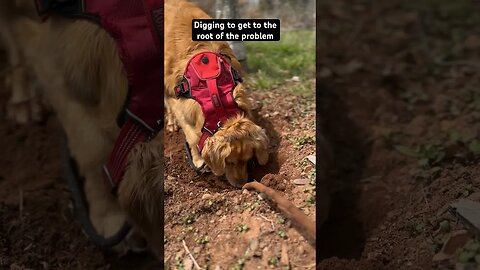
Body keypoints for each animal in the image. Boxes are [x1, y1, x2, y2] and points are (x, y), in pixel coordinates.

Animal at [165, 0, 270, 188]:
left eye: (248, 159)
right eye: (229, 162)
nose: (240, 185)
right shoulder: (181, 106)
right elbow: (192, 137)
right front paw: (199, 160)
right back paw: (171, 123)